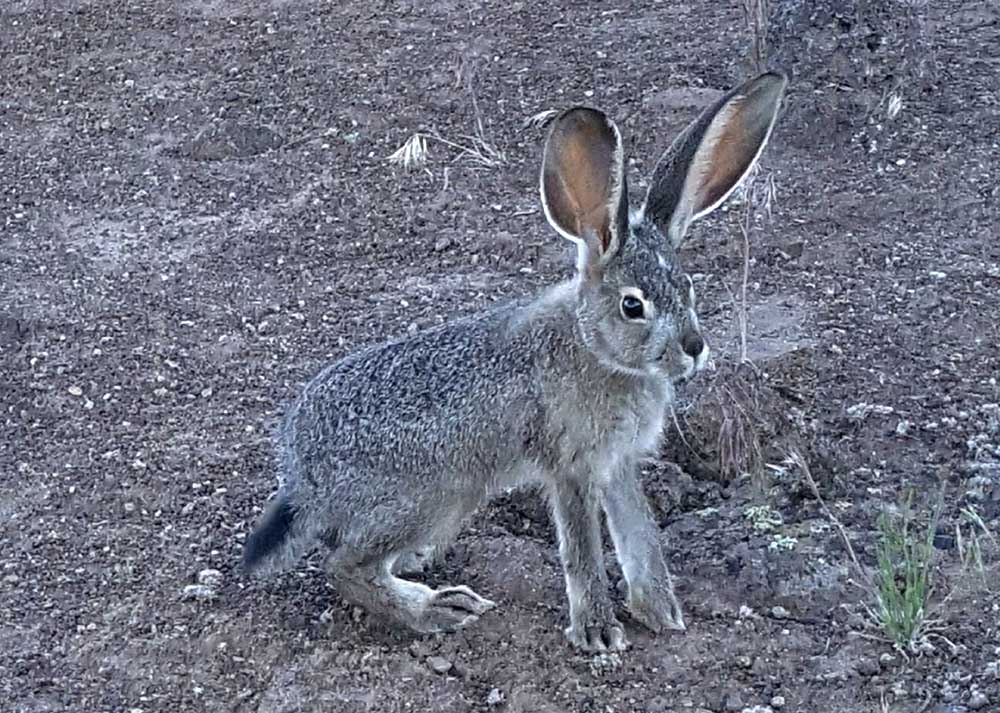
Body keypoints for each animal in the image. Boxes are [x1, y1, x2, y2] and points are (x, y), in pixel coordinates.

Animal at [242, 71, 788, 652]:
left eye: (687, 288)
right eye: (632, 305)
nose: (693, 347)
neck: (596, 350)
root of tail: (301, 478)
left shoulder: (618, 463)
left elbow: (640, 536)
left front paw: (660, 612)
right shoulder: (571, 465)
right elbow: (583, 549)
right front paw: (598, 633)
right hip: (440, 494)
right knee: (344, 567)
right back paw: (435, 608)